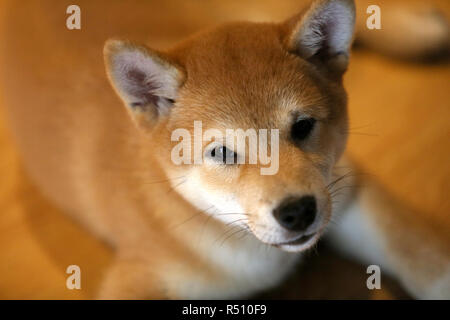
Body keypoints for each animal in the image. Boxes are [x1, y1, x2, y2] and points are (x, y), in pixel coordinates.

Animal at [0, 0, 448, 300]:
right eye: (222, 153)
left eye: (303, 127)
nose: (298, 212)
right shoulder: (138, 276)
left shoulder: (346, 189)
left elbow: (424, 257)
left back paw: (421, 30)